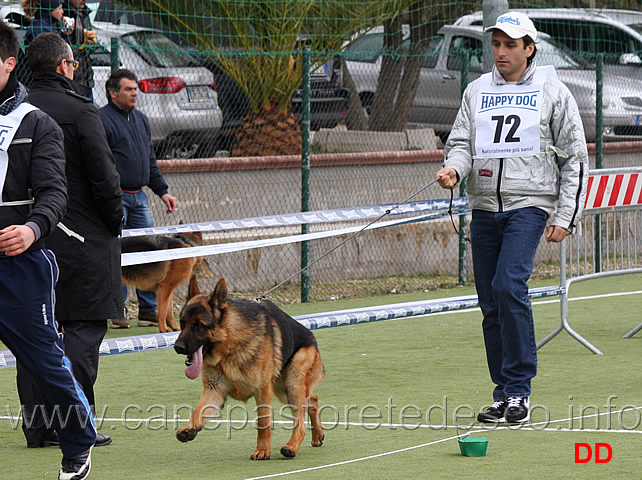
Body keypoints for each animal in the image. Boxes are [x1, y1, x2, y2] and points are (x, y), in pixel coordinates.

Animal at [174, 278, 324, 462]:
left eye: (198, 325)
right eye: (182, 323)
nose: (177, 347)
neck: (231, 345)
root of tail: (312, 337)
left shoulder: (263, 391)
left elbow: (263, 423)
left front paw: (262, 450)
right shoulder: (214, 391)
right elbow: (197, 411)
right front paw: (190, 429)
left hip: (292, 383)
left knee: (301, 422)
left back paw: (291, 446)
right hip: (283, 390)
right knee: (312, 399)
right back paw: (317, 435)